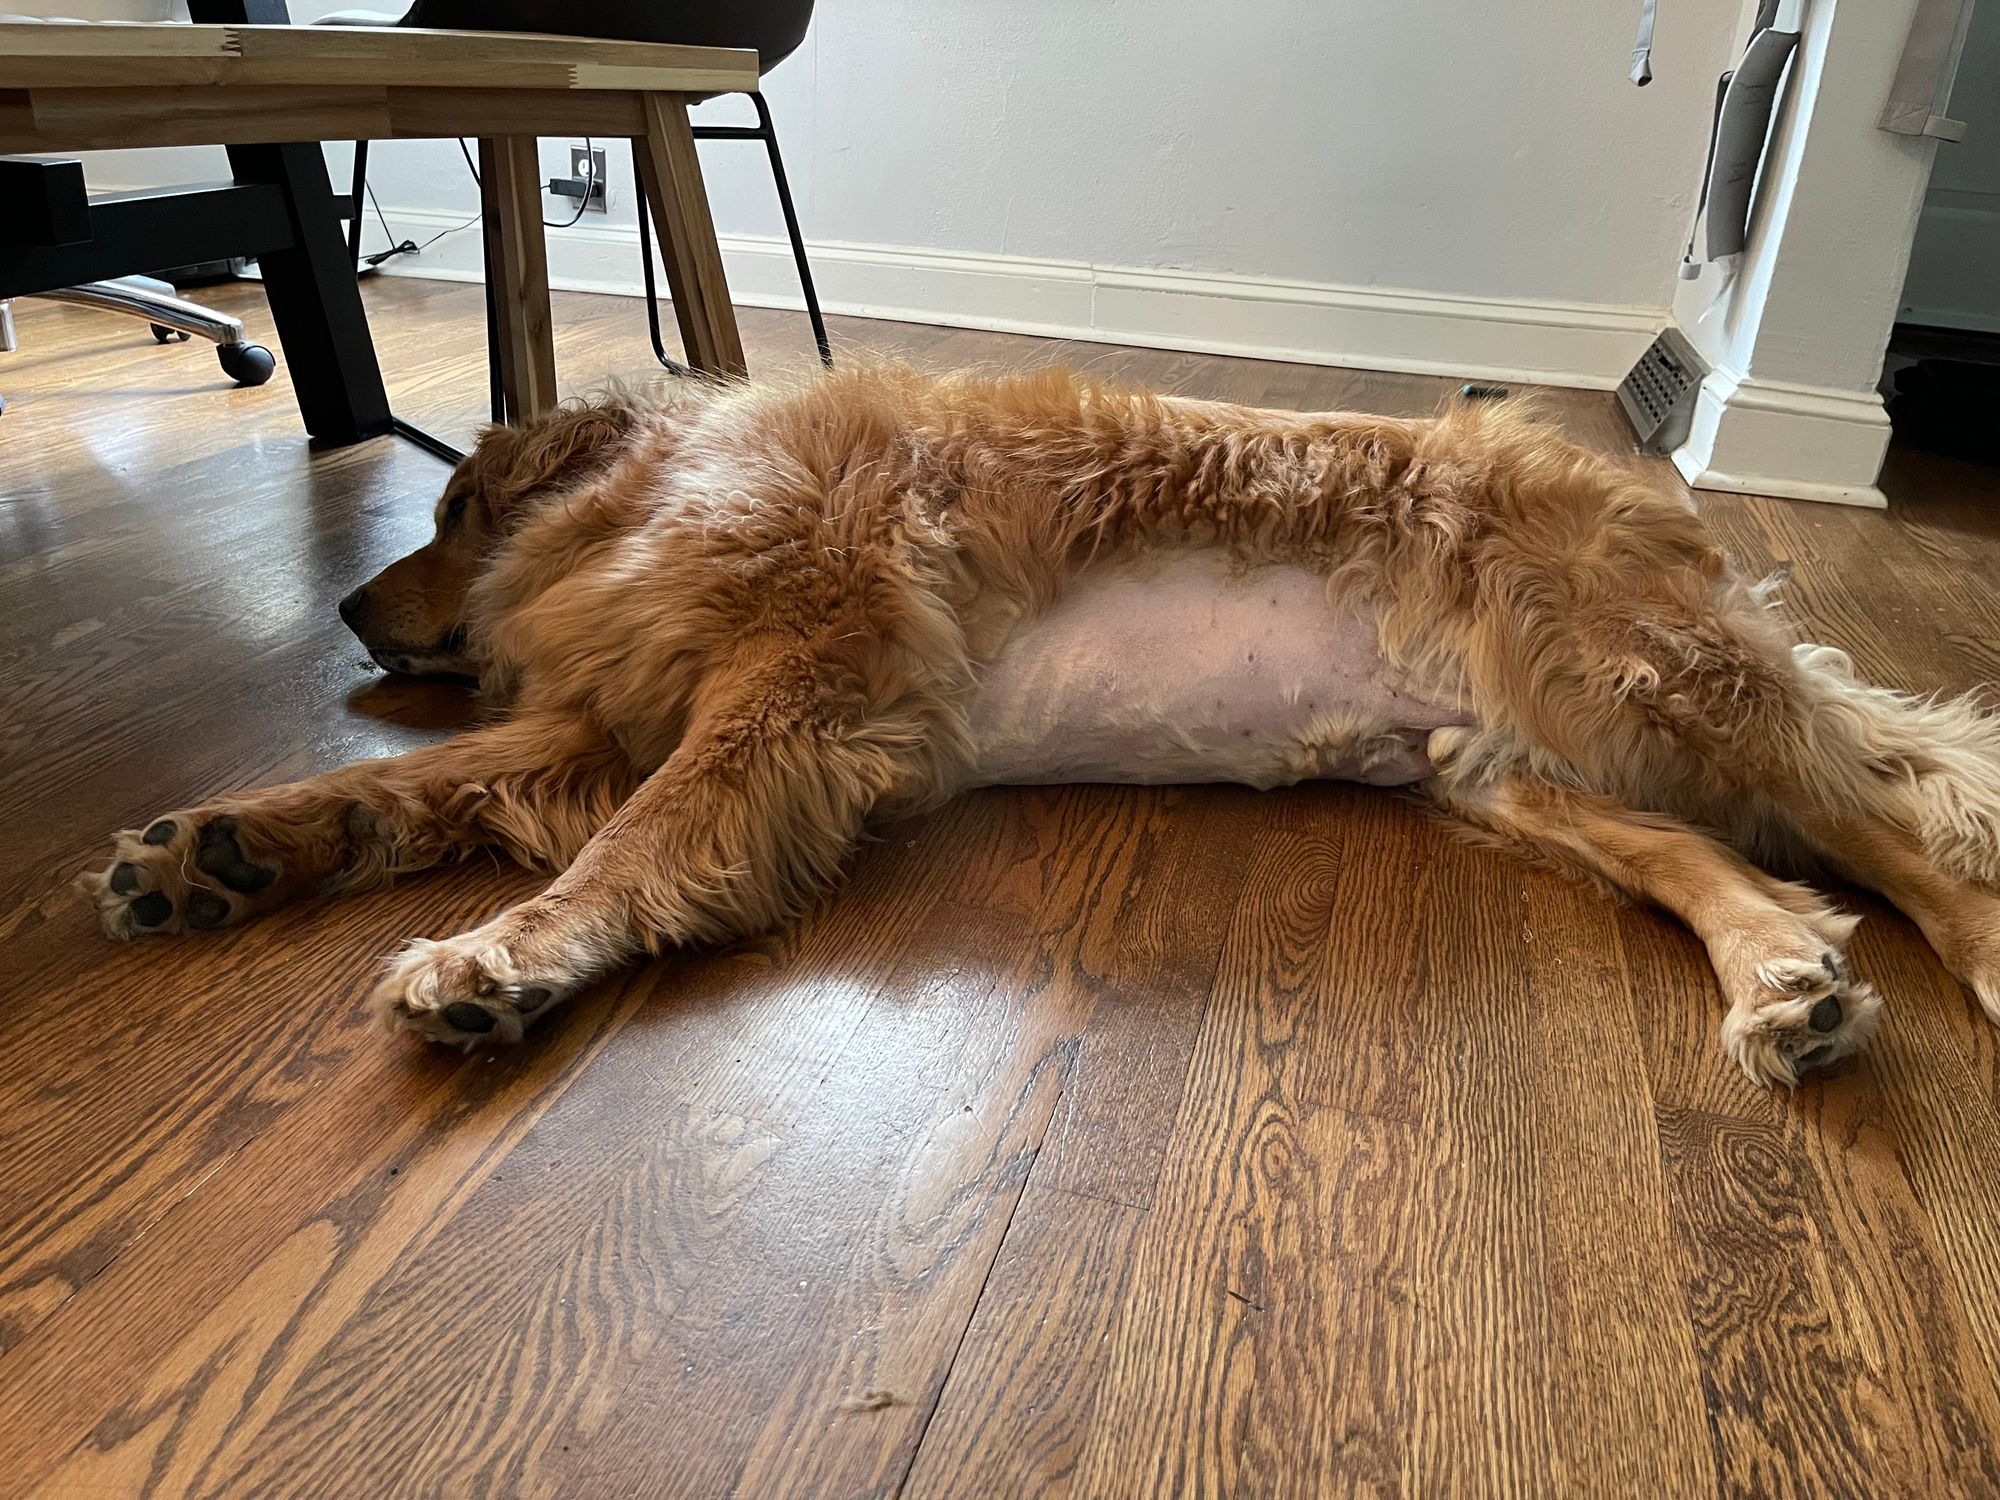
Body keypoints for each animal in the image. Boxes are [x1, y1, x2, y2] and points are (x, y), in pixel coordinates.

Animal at [80, 364, 2000, 1086]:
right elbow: (415, 782)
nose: (344, 608)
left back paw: (1973, 950)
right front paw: (222, 843)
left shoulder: (790, 691)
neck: (652, 495)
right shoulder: (613, 718)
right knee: (1722, 860)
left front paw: (502, 955)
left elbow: (630, 846)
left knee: (1891, 811)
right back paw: (1782, 981)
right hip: (1505, 768)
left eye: (456, 505)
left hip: (1628, 670)